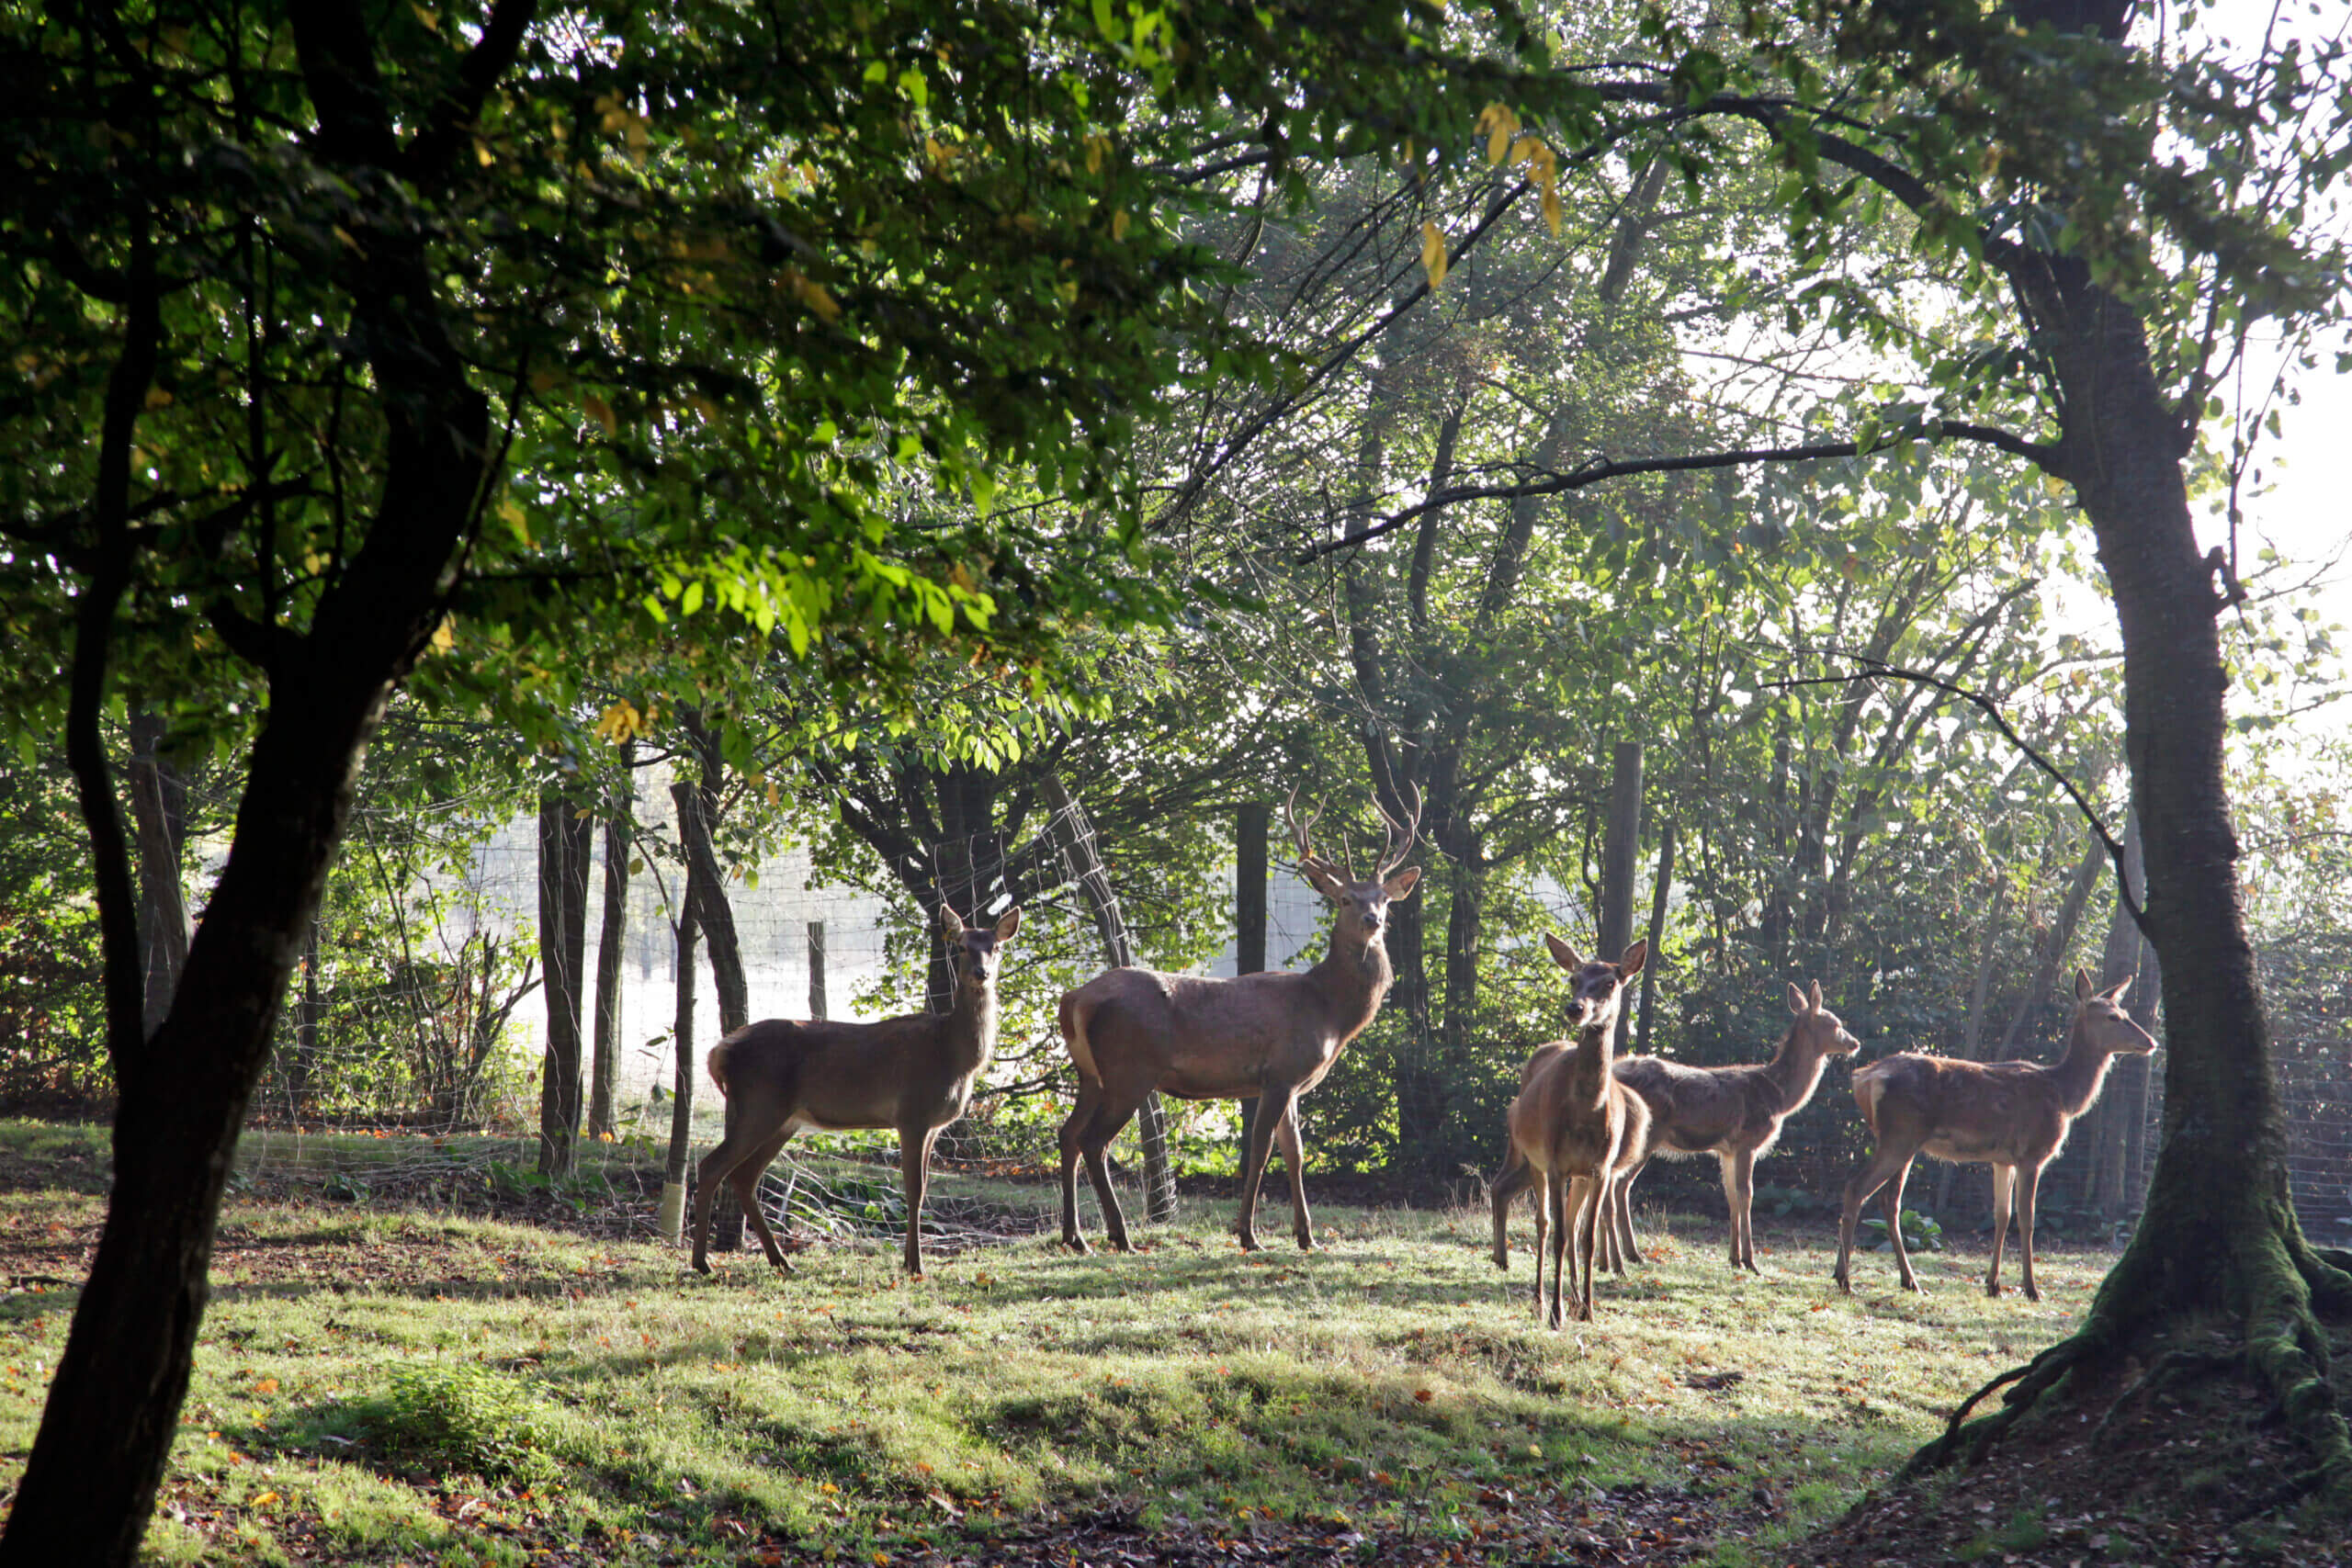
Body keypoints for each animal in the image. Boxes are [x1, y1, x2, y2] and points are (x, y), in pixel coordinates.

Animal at [682, 902, 1011, 1279]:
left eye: (995, 947)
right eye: (961, 947)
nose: (982, 973)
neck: (954, 1055)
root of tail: (718, 1053)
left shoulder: (933, 1126)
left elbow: (923, 1189)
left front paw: (910, 1260)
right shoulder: (911, 1114)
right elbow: (914, 1191)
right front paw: (915, 1265)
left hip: (782, 1119)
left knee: (743, 1176)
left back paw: (781, 1260)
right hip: (759, 1105)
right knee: (712, 1166)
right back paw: (703, 1262)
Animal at [1063, 789, 1420, 1259]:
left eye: (1384, 898)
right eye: (1346, 899)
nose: (1373, 921)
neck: (1327, 1010)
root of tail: (1075, 998)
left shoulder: (1293, 1084)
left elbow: (1296, 1153)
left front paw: (1307, 1236)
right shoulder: (1280, 1073)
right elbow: (1261, 1151)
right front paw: (1249, 1234)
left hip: (1090, 1075)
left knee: (1067, 1134)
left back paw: (1075, 1236)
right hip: (1129, 1071)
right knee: (1093, 1141)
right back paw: (1120, 1237)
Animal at [1486, 944, 1656, 1325]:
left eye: (1610, 982)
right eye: (1573, 979)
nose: (1575, 1008)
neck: (1586, 1112)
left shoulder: (1601, 1168)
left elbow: (1588, 1237)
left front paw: (1589, 1309)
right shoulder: (1555, 1163)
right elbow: (1559, 1234)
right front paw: (1556, 1313)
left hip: (1578, 1175)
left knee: (1573, 1224)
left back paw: (1576, 1299)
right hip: (1534, 1157)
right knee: (1545, 1224)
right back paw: (1539, 1298)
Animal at [1609, 982, 1862, 1279]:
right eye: (1835, 1023)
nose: (1855, 1043)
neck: (1779, 1096)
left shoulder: (1726, 1150)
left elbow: (1730, 1196)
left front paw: (1734, 1258)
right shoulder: (1747, 1142)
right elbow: (1747, 1194)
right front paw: (1751, 1261)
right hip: (1646, 1135)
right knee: (1619, 1186)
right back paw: (1629, 1255)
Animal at [1825, 968, 2154, 1297]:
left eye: (2125, 1013)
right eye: (2113, 1017)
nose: (2150, 1042)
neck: (2064, 1096)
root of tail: (1864, 1078)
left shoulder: (2003, 1159)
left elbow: (2002, 1216)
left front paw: (1993, 1284)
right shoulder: (2032, 1154)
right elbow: (2027, 1219)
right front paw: (2031, 1288)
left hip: (1903, 1141)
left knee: (1889, 1201)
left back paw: (1909, 1280)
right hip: (1900, 1135)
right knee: (1857, 1188)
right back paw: (1845, 1278)